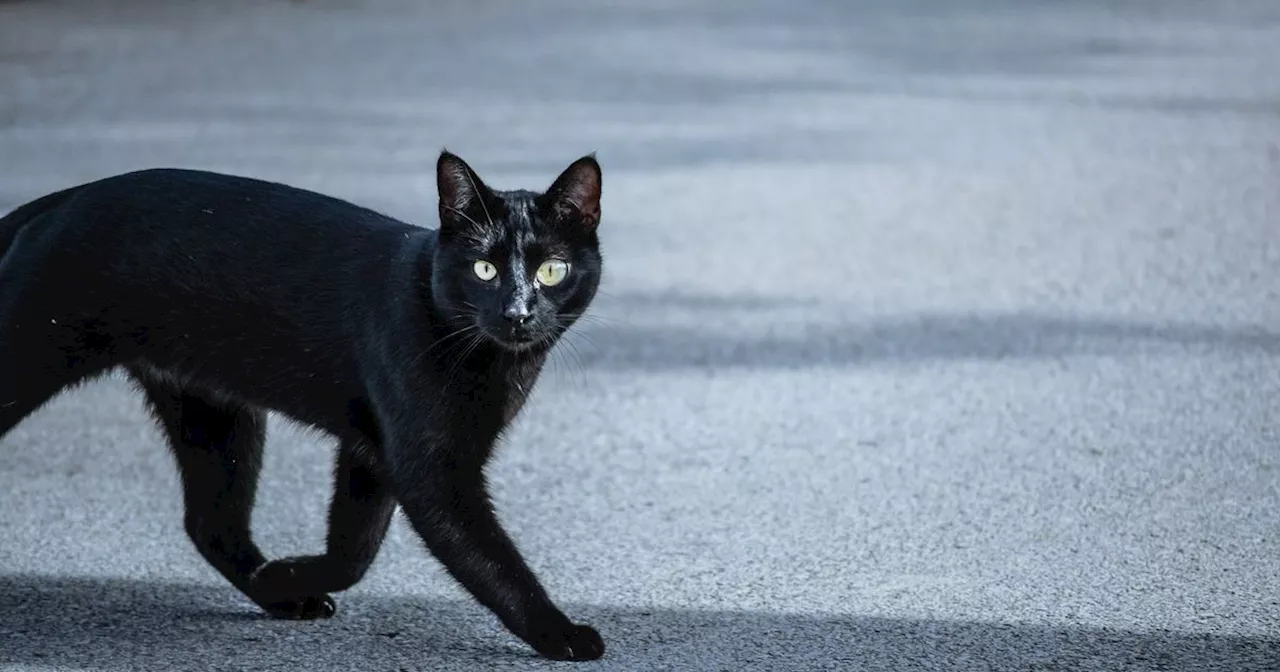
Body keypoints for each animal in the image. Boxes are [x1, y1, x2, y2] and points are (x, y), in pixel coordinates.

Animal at [0, 151, 606, 660]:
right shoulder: (430, 470)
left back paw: (275, 594)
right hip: (31, 364)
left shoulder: (373, 451)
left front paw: (283, 576)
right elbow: (491, 560)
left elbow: (354, 549)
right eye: (485, 269)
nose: (518, 313)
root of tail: (67, 196)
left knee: (210, 523)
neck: (493, 364)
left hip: (213, 415)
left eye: (551, 270)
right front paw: (561, 634)